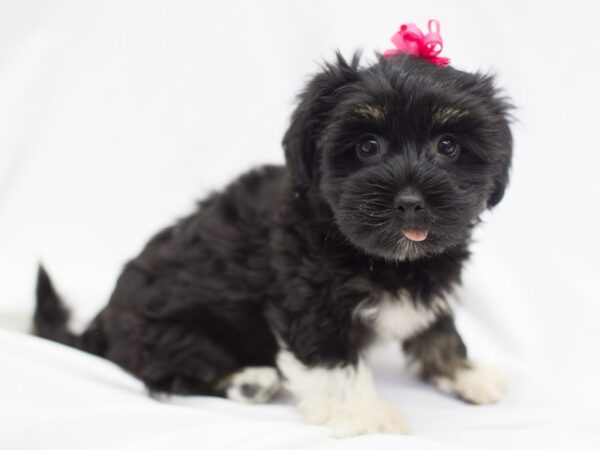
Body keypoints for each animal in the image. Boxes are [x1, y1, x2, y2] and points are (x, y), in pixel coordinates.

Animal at [32, 51, 510, 436]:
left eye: (447, 145)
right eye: (367, 146)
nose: (410, 202)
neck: (386, 258)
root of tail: (101, 325)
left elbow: (438, 329)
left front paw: (466, 372)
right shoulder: (311, 300)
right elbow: (334, 361)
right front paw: (365, 416)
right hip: (172, 331)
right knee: (172, 371)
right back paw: (250, 382)